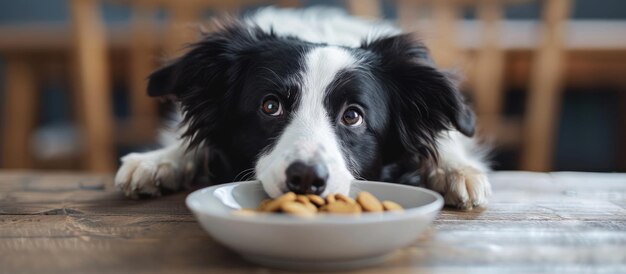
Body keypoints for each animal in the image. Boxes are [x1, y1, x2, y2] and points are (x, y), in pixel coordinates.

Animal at [114, 6, 490, 210]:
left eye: (353, 115)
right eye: (270, 106)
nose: (307, 178)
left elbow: (448, 140)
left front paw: (457, 171)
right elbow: (187, 142)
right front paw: (158, 162)